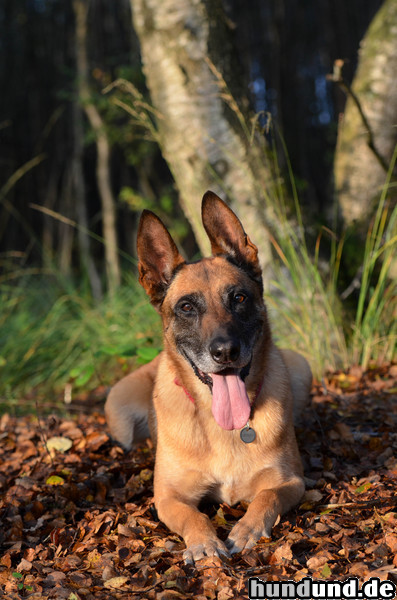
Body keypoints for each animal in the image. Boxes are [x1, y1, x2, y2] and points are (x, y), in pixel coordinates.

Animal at [105, 191, 312, 564]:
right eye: (187, 307)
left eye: (239, 298)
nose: (226, 352)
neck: (222, 427)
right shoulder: (169, 497)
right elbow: (194, 516)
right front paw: (204, 543)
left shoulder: (291, 482)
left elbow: (266, 497)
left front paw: (246, 530)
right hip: (119, 409)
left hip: (302, 367)